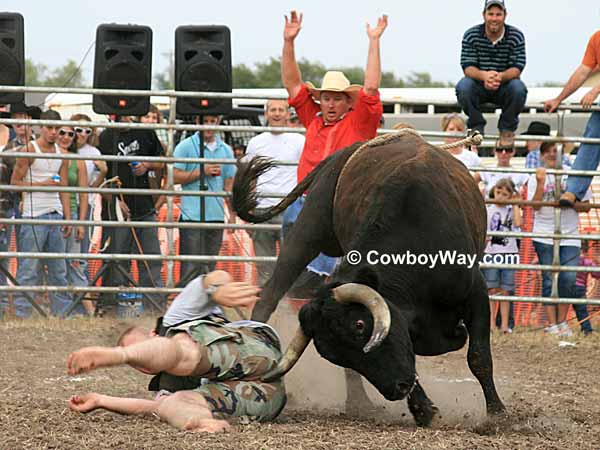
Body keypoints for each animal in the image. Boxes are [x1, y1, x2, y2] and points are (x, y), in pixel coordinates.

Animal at [233, 133, 506, 426]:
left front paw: (497, 413)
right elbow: (412, 354)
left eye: (360, 325)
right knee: (270, 295)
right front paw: (423, 409)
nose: (397, 388)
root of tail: (338, 156)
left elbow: (478, 356)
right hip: (309, 229)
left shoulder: (475, 292)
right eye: (338, 356)